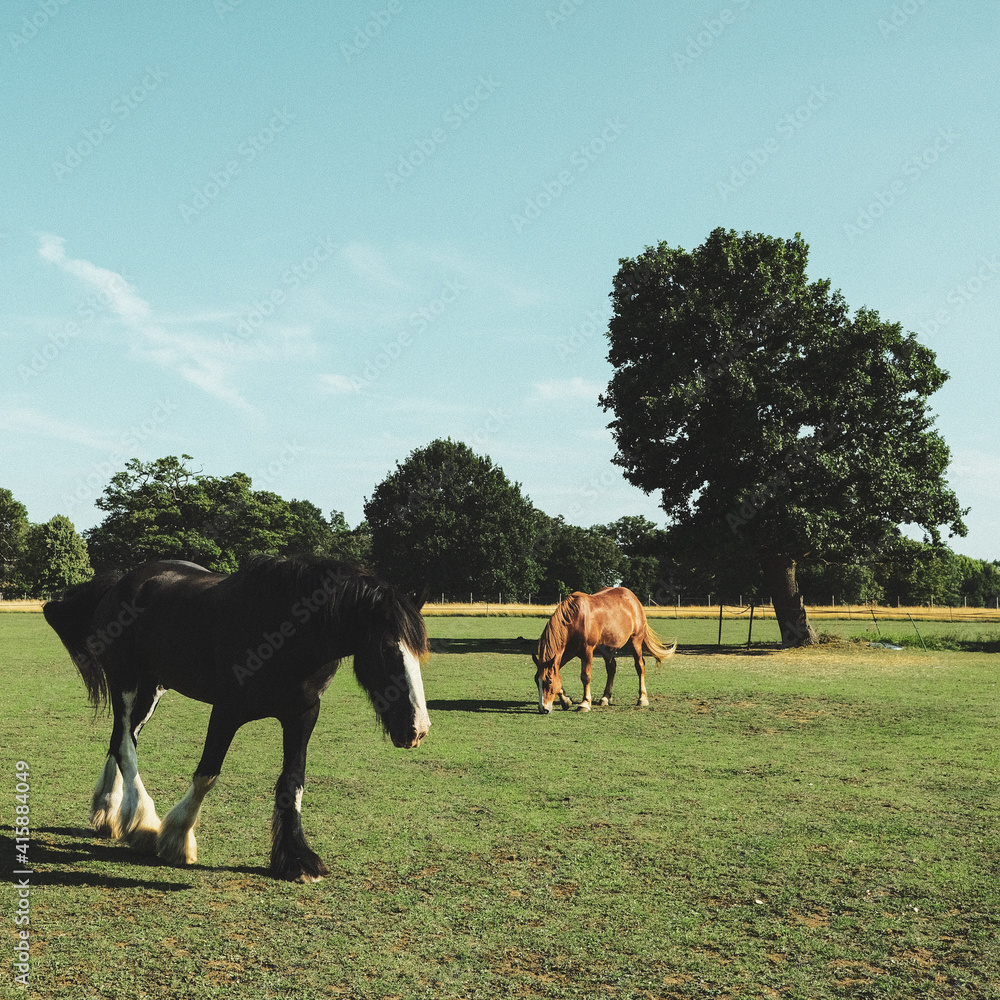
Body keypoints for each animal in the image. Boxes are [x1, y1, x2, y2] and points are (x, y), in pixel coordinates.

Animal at [43, 556, 430, 884]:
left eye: (420, 650)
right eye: (386, 649)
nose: (418, 730)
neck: (287, 632)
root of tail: (122, 583)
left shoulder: (302, 715)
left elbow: (293, 781)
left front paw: (296, 859)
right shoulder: (226, 711)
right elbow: (207, 774)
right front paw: (177, 837)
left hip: (153, 687)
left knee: (120, 739)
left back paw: (108, 812)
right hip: (126, 681)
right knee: (125, 745)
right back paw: (142, 822)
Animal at [532, 588, 680, 716]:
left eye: (548, 681)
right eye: (537, 681)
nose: (543, 709)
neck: (576, 618)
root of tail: (633, 598)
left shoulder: (587, 650)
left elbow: (585, 676)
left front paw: (585, 704)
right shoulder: (569, 651)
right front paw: (566, 701)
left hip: (635, 641)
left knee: (640, 667)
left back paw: (642, 699)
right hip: (608, 649)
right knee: (611, 669)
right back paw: (605, 698)